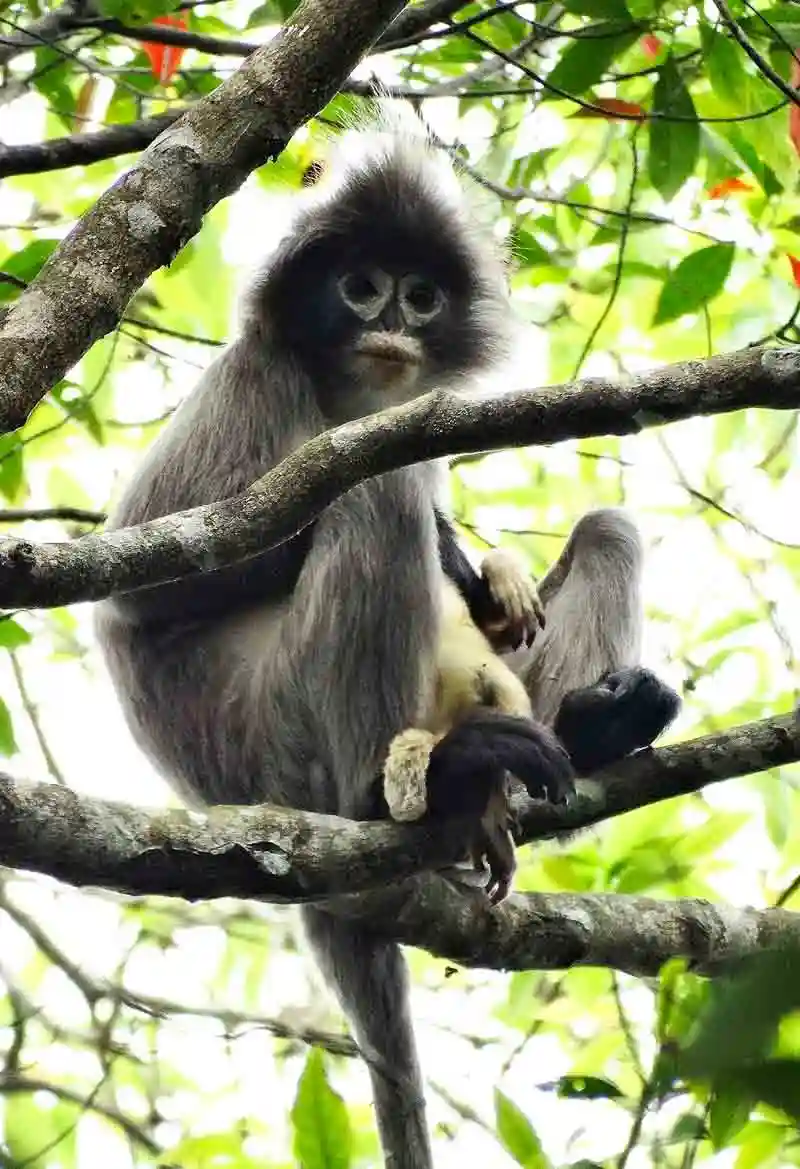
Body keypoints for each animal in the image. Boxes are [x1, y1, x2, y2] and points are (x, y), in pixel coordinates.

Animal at [93, 102, 683, 1169]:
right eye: (360, 287)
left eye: (420, 295)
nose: (390, 328)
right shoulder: (252, 379)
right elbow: (148, 585)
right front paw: (456, 547)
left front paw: (494, 571)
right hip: (282, 745)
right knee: (376, 488)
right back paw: (408, 788)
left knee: (605, 528)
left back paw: (591, 730)